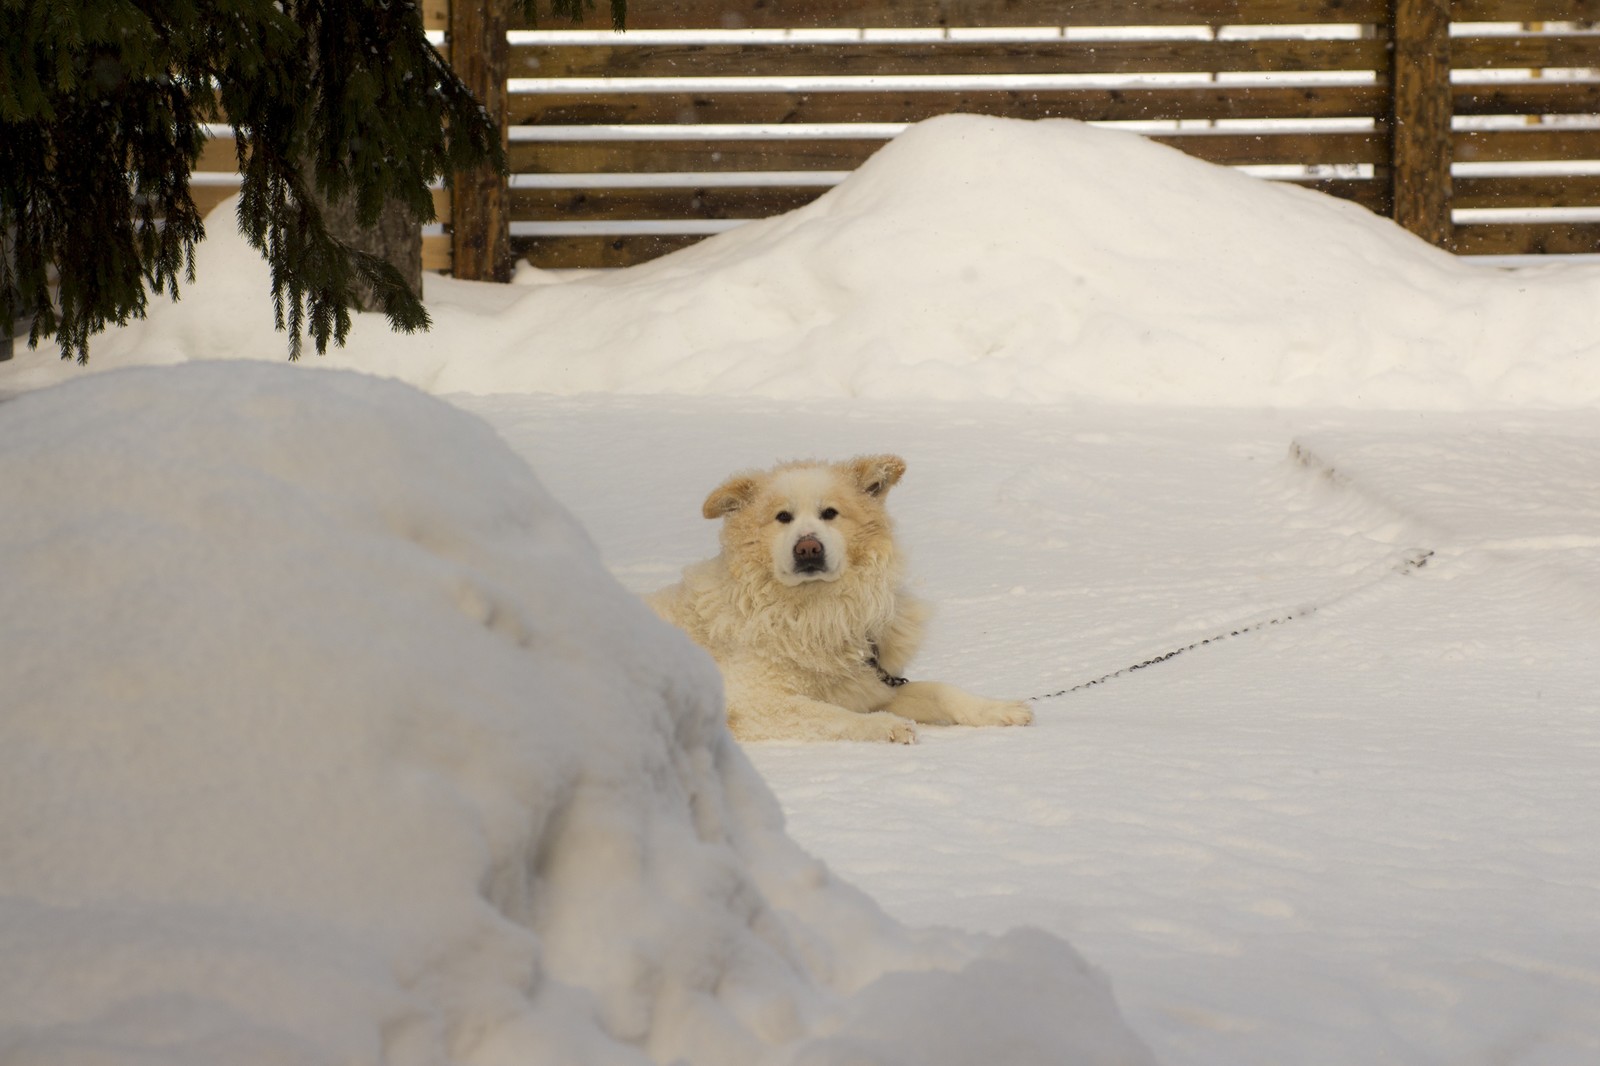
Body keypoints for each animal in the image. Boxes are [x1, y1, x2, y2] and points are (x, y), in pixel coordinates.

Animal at [649, 451, 1036, 742]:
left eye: (830, 513)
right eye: (783, 517)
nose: (808, 548)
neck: (817, 610)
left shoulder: (875, 684)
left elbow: (941, 690)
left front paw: (997, 709)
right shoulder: (756, 702)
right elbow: (830, 714)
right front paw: (887, 726)